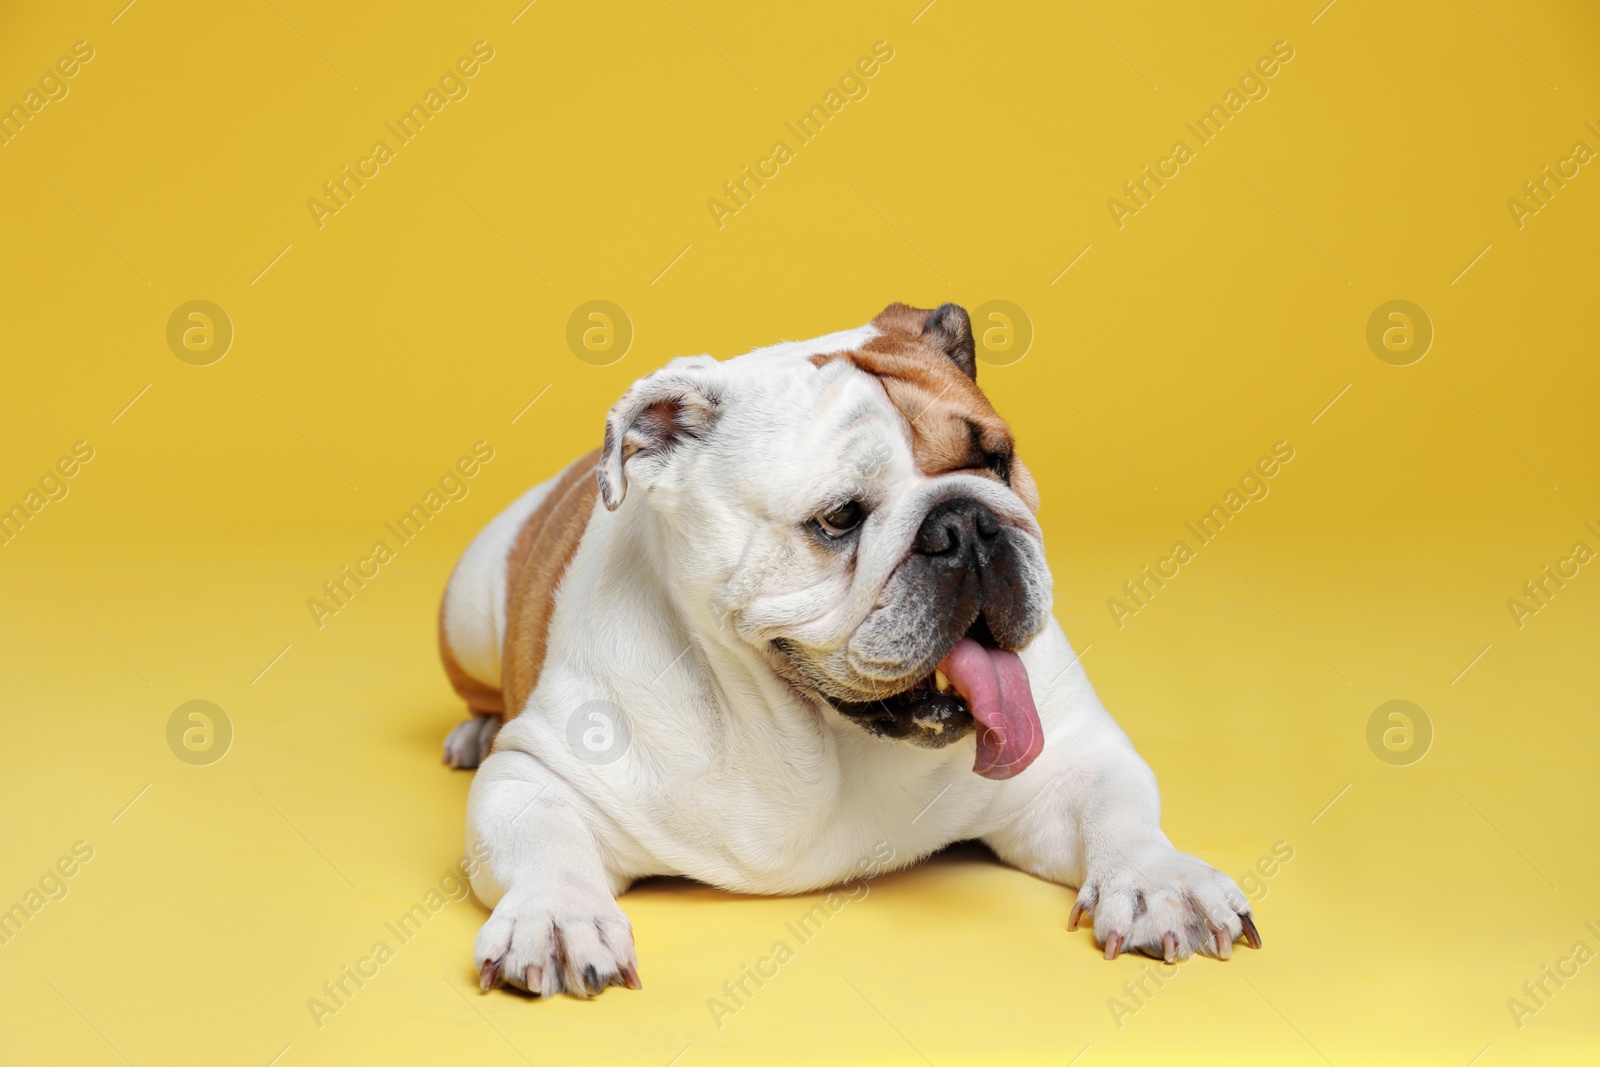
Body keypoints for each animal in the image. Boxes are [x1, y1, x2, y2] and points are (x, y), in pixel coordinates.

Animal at [441, 302, 1260, 1004]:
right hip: (467, 609)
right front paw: (557, 915)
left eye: (997, 462)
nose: (965, 524)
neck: (814, 737)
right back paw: (474, 731)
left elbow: (1120, 815)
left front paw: (1162, 881)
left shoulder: (1074, 763)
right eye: (838, 518)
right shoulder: (536, 773)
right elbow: (545, 843)